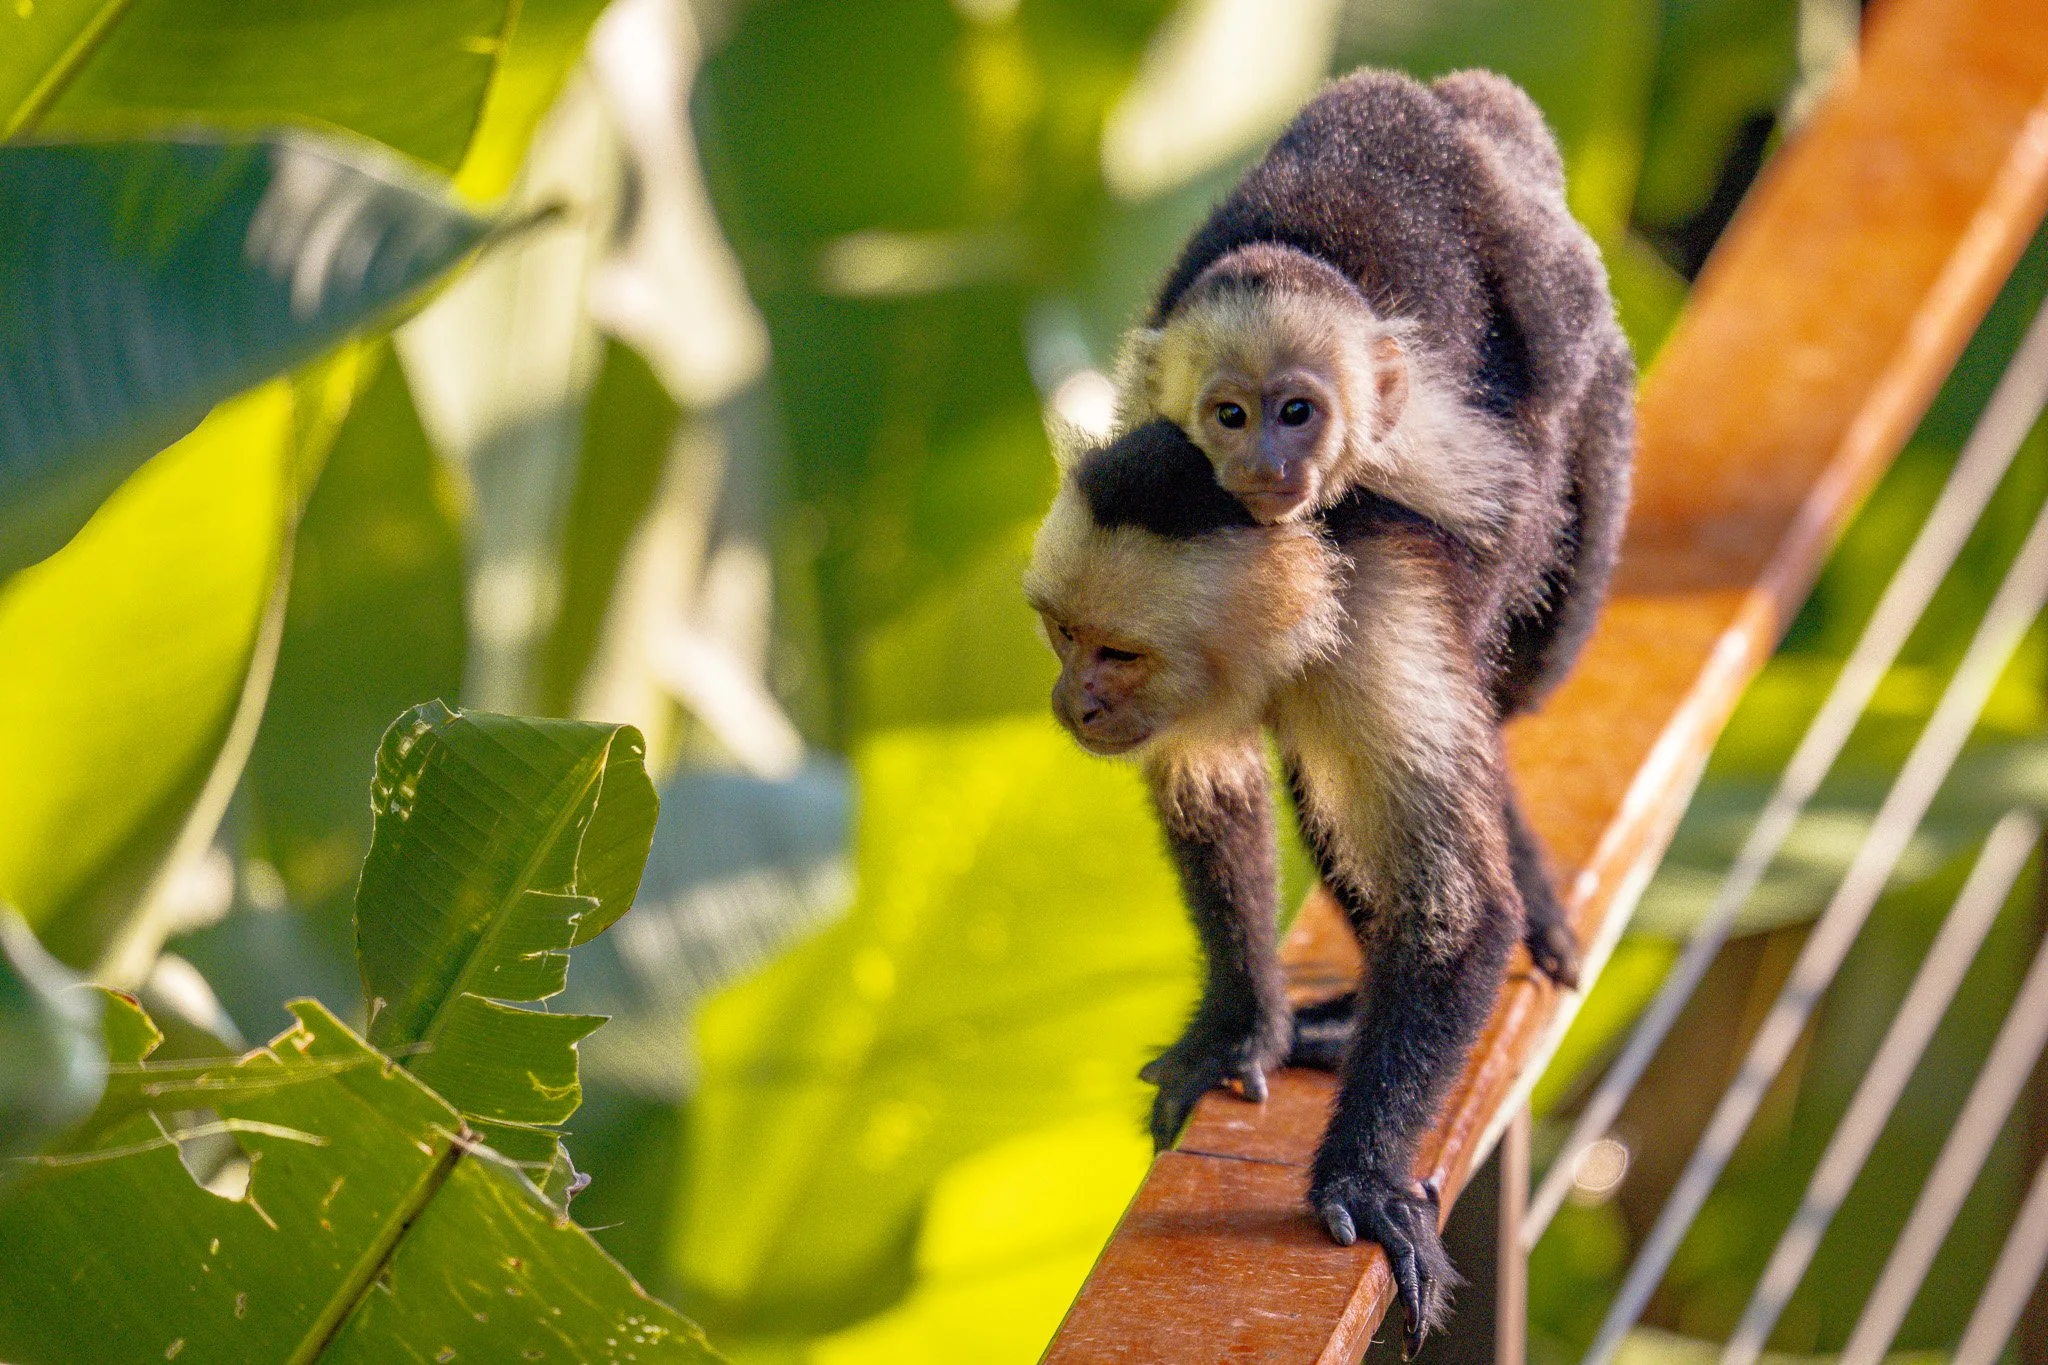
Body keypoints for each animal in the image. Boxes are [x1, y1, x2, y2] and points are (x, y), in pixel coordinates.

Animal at [1027, 68, 1634, 1353]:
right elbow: (1208, 792)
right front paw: (1238, 1028)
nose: (1071, 702)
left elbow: (1454, 910)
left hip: (1581, 383)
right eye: (1061, 638)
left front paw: (1360, 1174)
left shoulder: (1377, 622)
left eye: (1115, 655)